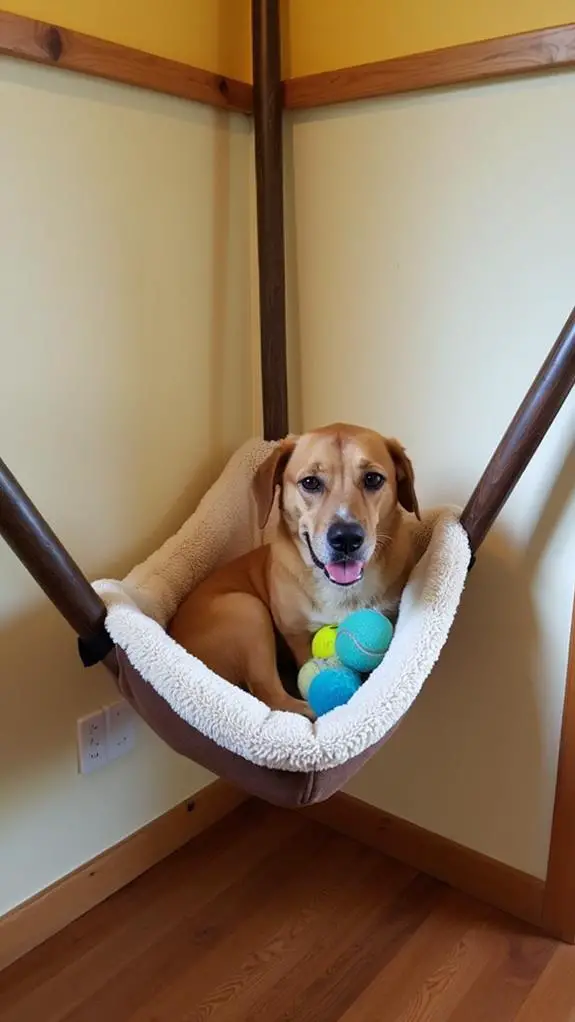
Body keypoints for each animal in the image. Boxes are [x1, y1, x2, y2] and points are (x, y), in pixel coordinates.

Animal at [168, 423, 420, 719]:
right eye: (310, 482)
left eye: (372, 479)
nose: (346, 538)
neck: (339, 589)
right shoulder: (296, 634)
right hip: (248, 611)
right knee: (272, 697)